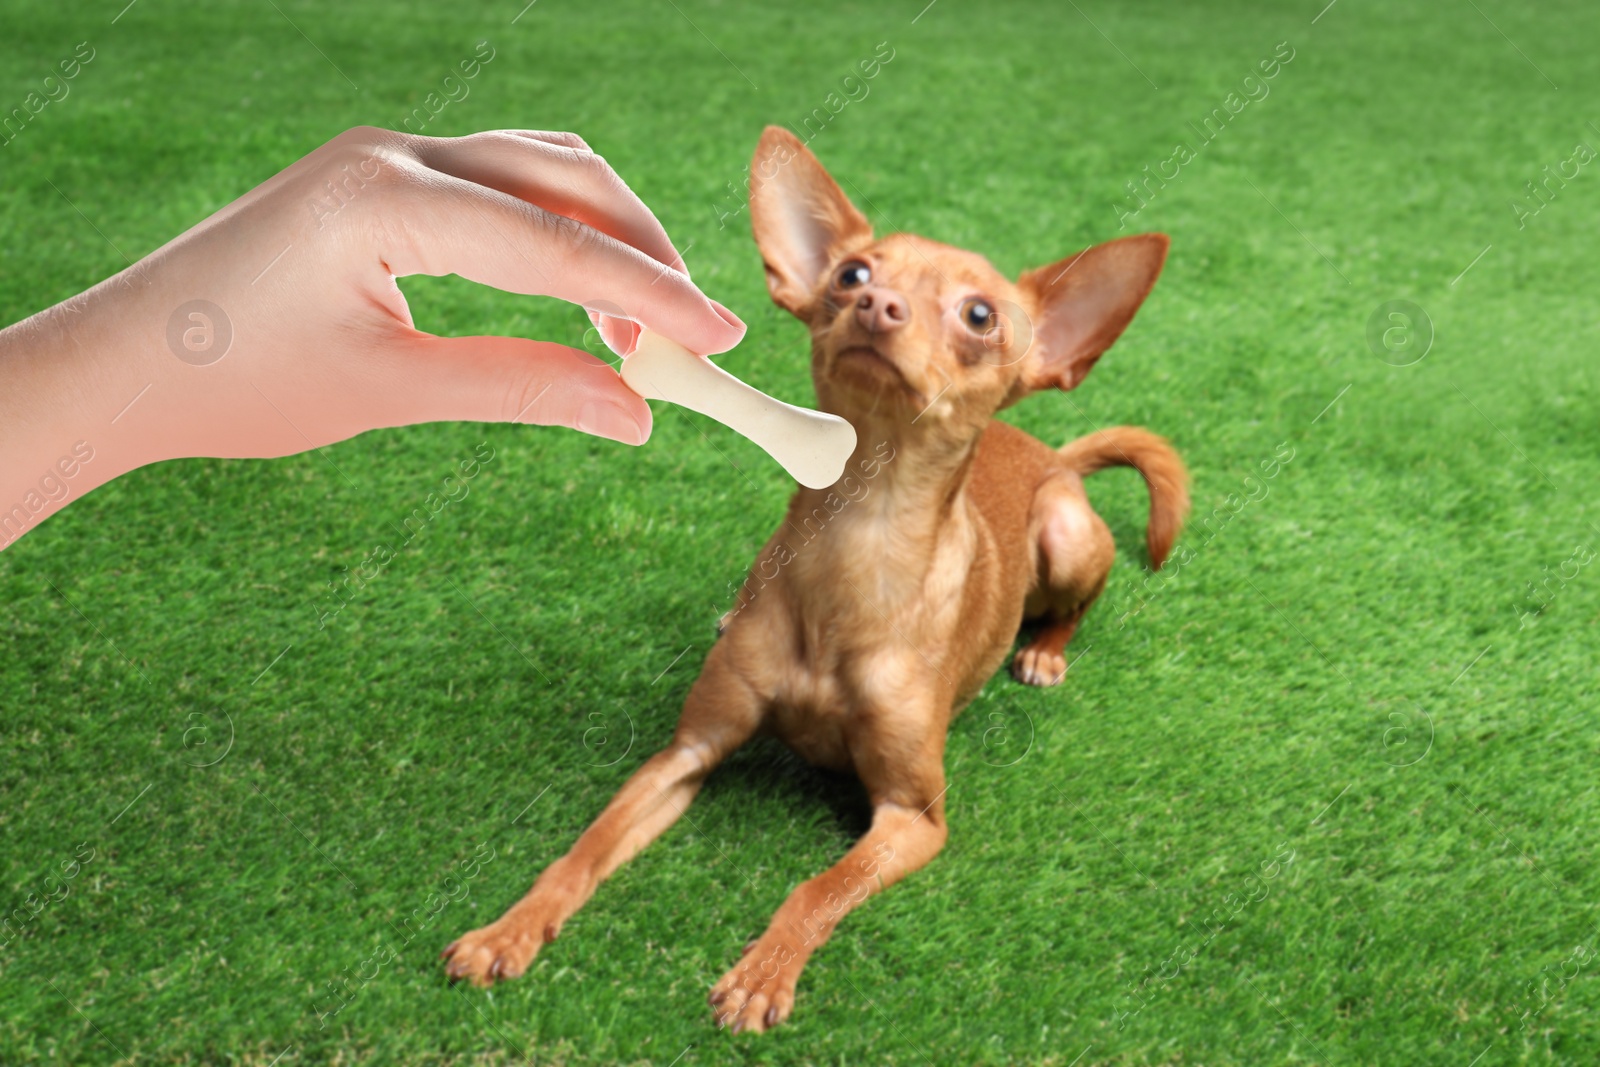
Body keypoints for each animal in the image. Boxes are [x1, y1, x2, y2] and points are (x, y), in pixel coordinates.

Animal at [441, 127, 1190, 1036]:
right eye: (852, 274)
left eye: (980, 316)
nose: (877, 307)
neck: (858, 539)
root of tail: (1051, 452)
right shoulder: (685, 753)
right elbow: (582, 850)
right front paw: (509, 927)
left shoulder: (915, 816)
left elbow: (820, 887)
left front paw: (764, 971)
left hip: (1069, 534)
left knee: (1075, 598)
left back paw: (1045, 650)